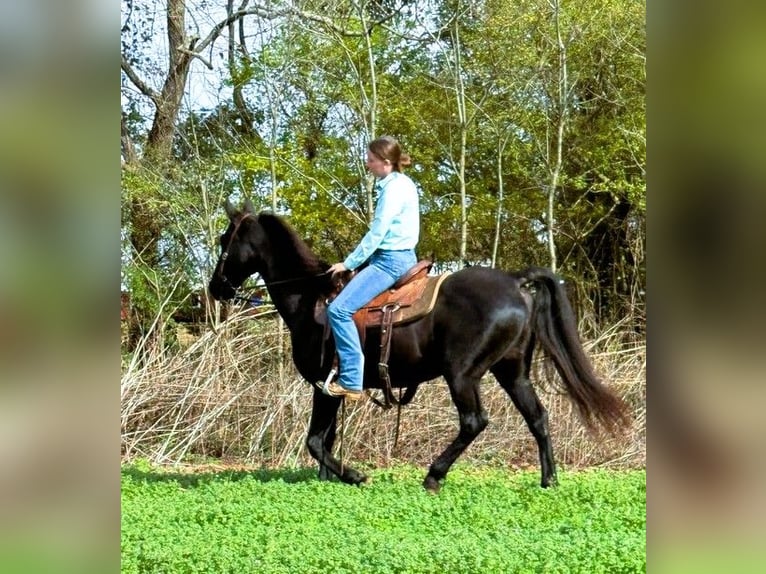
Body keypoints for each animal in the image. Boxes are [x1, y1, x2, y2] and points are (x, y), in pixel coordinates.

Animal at [207, 200, 628, 492]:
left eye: (226, 240)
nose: (215, 288)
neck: (311, 300)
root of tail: (514, 281)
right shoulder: (331, 390)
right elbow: (325, 439)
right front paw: (329, 479)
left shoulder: (323, 386)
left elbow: (314, 440)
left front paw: (354, 475)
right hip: (512, 371)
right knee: (537, 417)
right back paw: (548, 480)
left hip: (462, 374)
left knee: (474, 421)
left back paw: (434, 475)